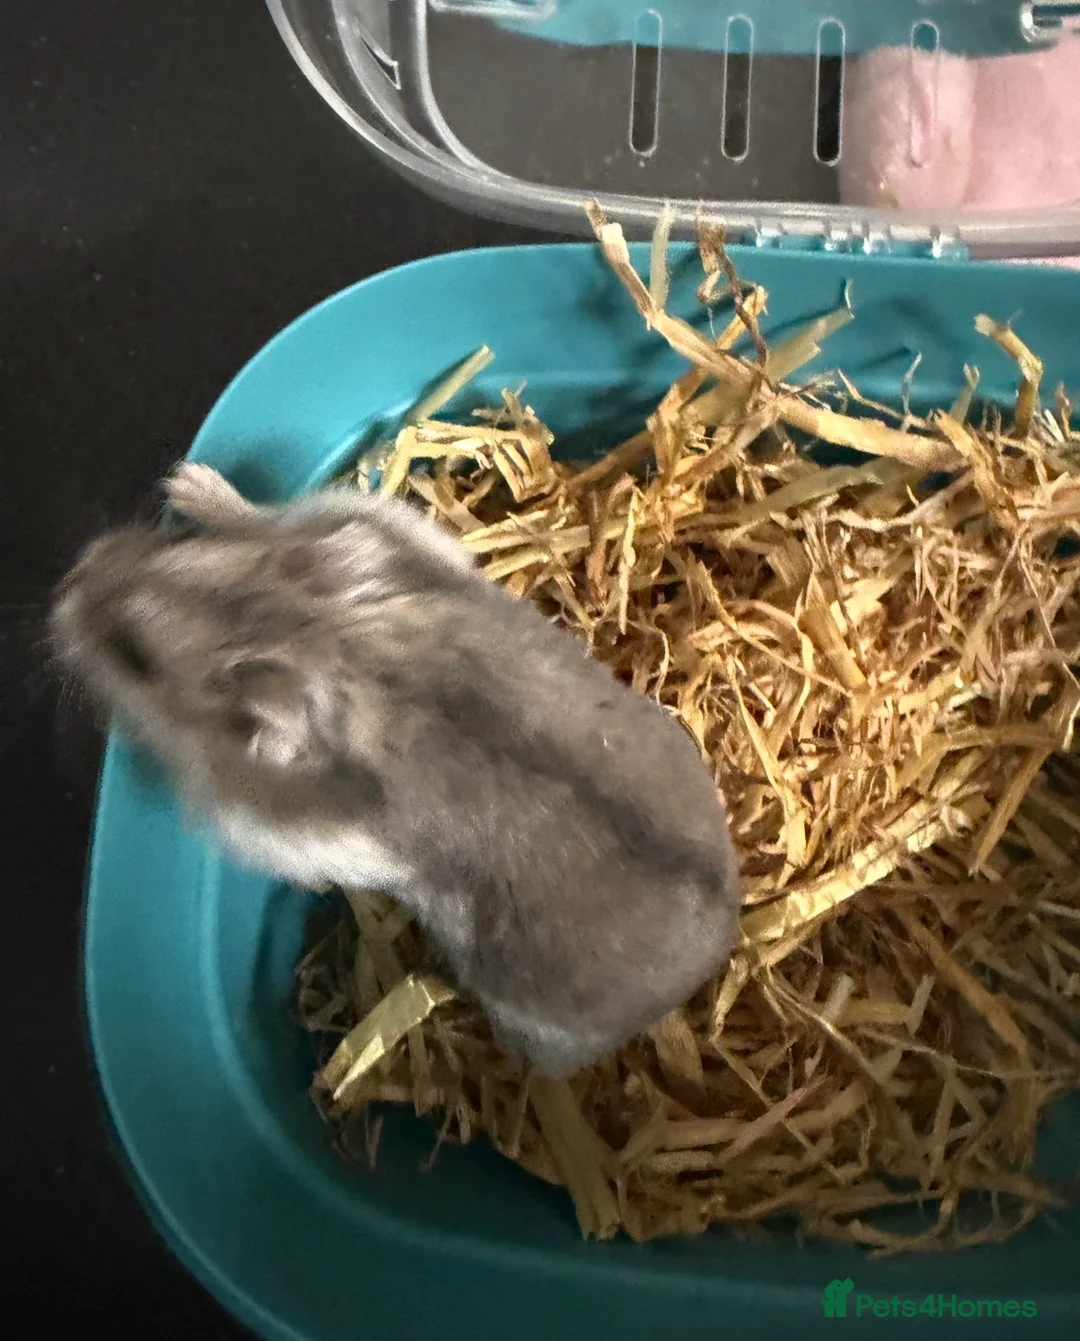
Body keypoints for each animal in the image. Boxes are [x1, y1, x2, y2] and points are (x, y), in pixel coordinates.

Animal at [51, 462, 742, 1076]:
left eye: (135, 658)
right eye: (175, 542)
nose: (67, 584)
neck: (323, 640)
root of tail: (718, 946)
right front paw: (187, 481)